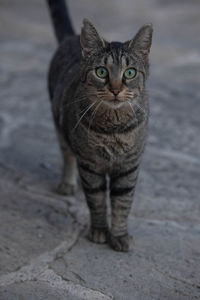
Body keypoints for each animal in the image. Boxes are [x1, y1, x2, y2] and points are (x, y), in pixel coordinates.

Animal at [47, 0, 153, 252]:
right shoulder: (90, 165)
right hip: (60, 127)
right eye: (101, 71)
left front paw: (120, 235)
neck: (113, 129)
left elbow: (122, 204)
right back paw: (67, 183)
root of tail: (72, 38)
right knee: (67, 155)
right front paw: (100, 231)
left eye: (129, 73)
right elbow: (96, 200)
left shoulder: (128, 166)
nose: (115, 89)